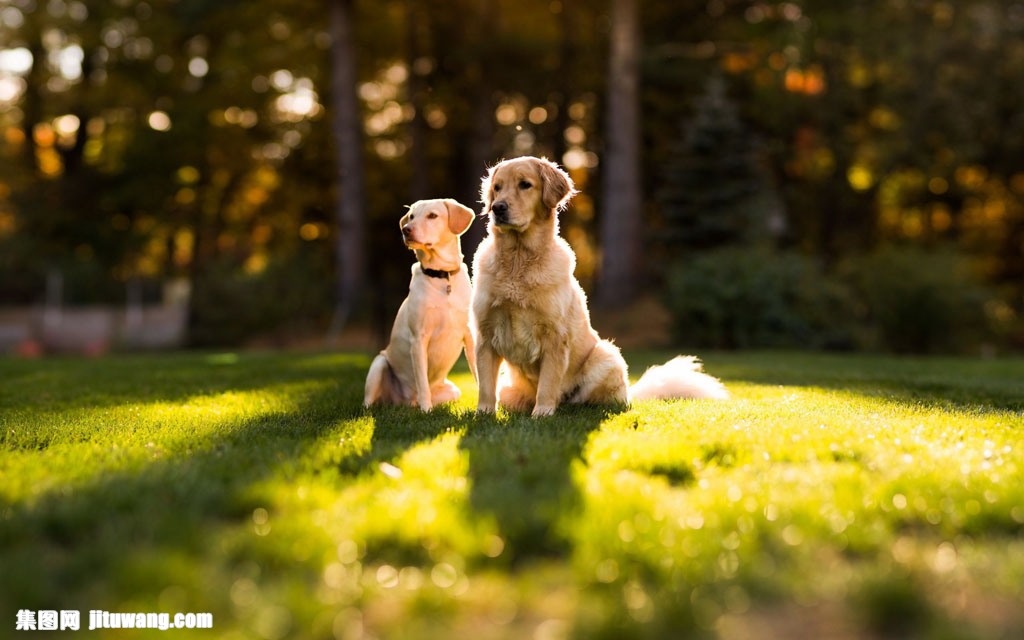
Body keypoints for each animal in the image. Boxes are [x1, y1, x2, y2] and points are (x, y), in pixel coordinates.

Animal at [366, 197, 477, 411]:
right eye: (411, 216)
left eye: (432, 215)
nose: (406, 229)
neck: (442, 277)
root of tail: (404, 402)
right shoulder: (419, 339)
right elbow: (423, 382)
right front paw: (426, 411)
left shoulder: (471, 335)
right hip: (379, 363)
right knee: (367, 403)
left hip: (453, 390)